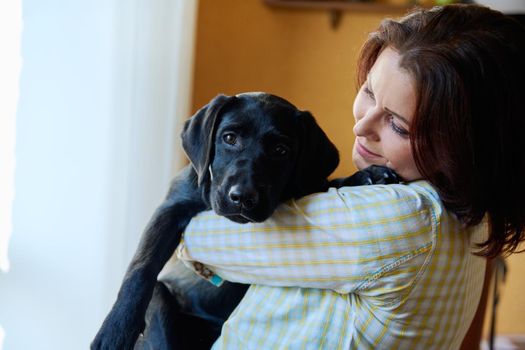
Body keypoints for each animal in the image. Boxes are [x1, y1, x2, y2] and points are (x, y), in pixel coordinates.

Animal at [91, 93, 398, 350]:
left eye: (281, 150)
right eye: (229, 138)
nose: (242, 197)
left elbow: (324, 184)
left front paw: (367, 175)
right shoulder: (171, 208)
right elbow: (141, 267)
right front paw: (115, 330)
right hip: (163, 299)